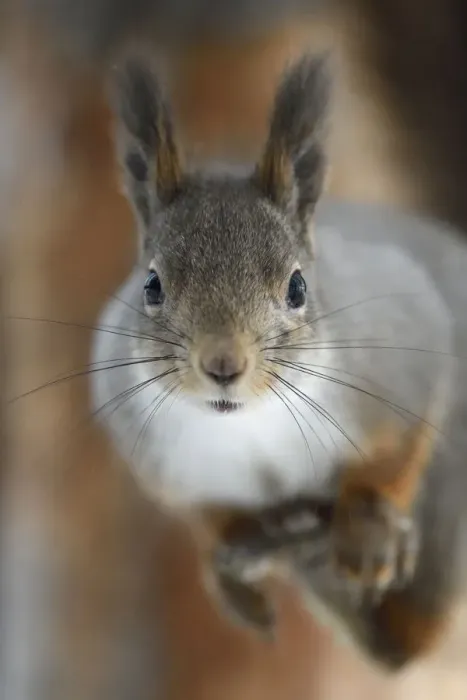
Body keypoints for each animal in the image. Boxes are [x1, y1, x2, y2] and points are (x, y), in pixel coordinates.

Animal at [92, 53, 463, 671]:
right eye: (151, 285)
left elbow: (393, 457)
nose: (223, 364)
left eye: (297, 287)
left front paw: (367, 529)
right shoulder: (167, 463)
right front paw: (231, 570)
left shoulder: (401, 362)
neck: (248, 426)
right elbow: (212, 518)